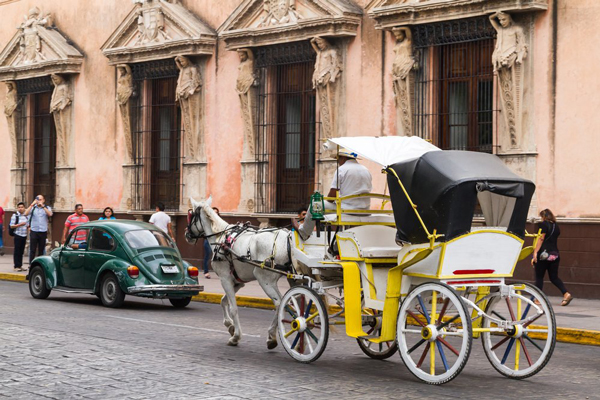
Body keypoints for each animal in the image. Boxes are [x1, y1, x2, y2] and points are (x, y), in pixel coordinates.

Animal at [185, 197, 292, 346]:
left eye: (191, 216)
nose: (187, 235)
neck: (221, 238)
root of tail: (286, 236)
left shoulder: (225, 279)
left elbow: (233, 308)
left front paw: (235, 336)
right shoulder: (237, 282)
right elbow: (223, 301)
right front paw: (229, 325)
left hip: (264, 279)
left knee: (279, 304)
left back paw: (271, 335)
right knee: (287, 303)